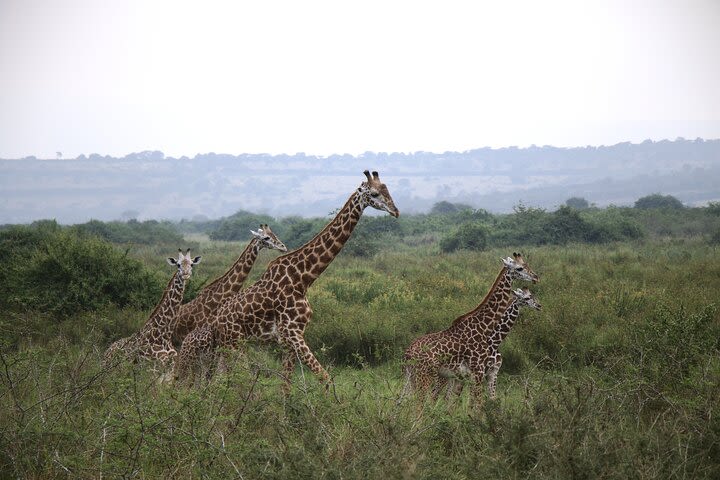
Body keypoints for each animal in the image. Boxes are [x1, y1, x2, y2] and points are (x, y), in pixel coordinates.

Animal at [178, 171, 400, 392]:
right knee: (230, 379)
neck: (303, 278)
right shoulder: (292, 333)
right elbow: (325, 379)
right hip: (234, 342)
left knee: (221, 378)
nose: (396, 211)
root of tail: (216, 320)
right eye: (374, 193)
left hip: (229, 345)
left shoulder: (291, 337)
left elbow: (286, 385)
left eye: (387, 189)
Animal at [402, 253, 536, 406]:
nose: (535, 277)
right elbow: (477, 404)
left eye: (527, 265)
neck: (484, 327)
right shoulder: (478, 371)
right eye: (520, 268)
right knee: (420, 403)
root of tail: (407, 354)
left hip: (412, 376)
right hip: (426, 375)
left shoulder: (476, 374)